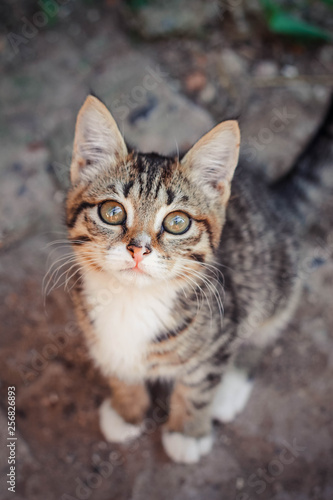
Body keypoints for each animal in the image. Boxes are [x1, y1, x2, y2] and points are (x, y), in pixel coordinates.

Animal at [65, 95, 322, 462]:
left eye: (177, 222)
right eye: (112, 212)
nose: (138, 249)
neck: (133, 299)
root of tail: (276, 198)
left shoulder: (223, 327)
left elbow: (198, 387)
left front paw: (187, 433)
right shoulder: (96, 333)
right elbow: (118, 368)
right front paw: (127, 409)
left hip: (275, 282)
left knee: (263, 332)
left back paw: (230, 388)